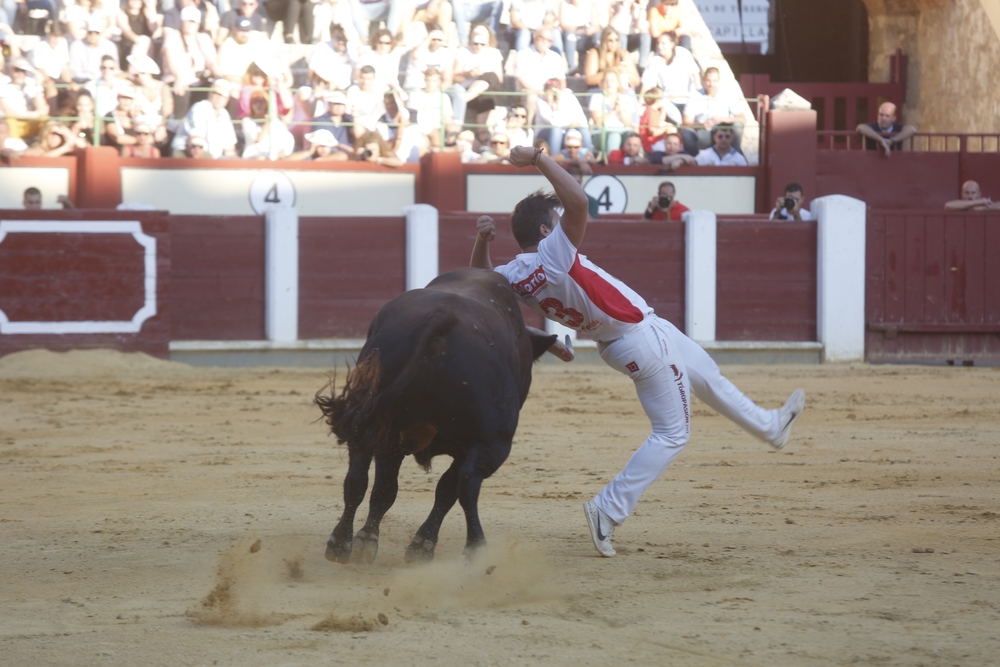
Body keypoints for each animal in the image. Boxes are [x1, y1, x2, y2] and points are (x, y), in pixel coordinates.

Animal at [316, 266, 560, 564]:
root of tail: (441, 319)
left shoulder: (392, 438)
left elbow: (387, 489)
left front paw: (370, 539)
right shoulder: (473, 444)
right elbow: (447, 491)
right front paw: (422, 545)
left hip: (377, 423)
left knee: (357, 478)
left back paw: (341, 543)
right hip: (493, 441)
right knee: (467, 485)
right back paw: (476, 550)